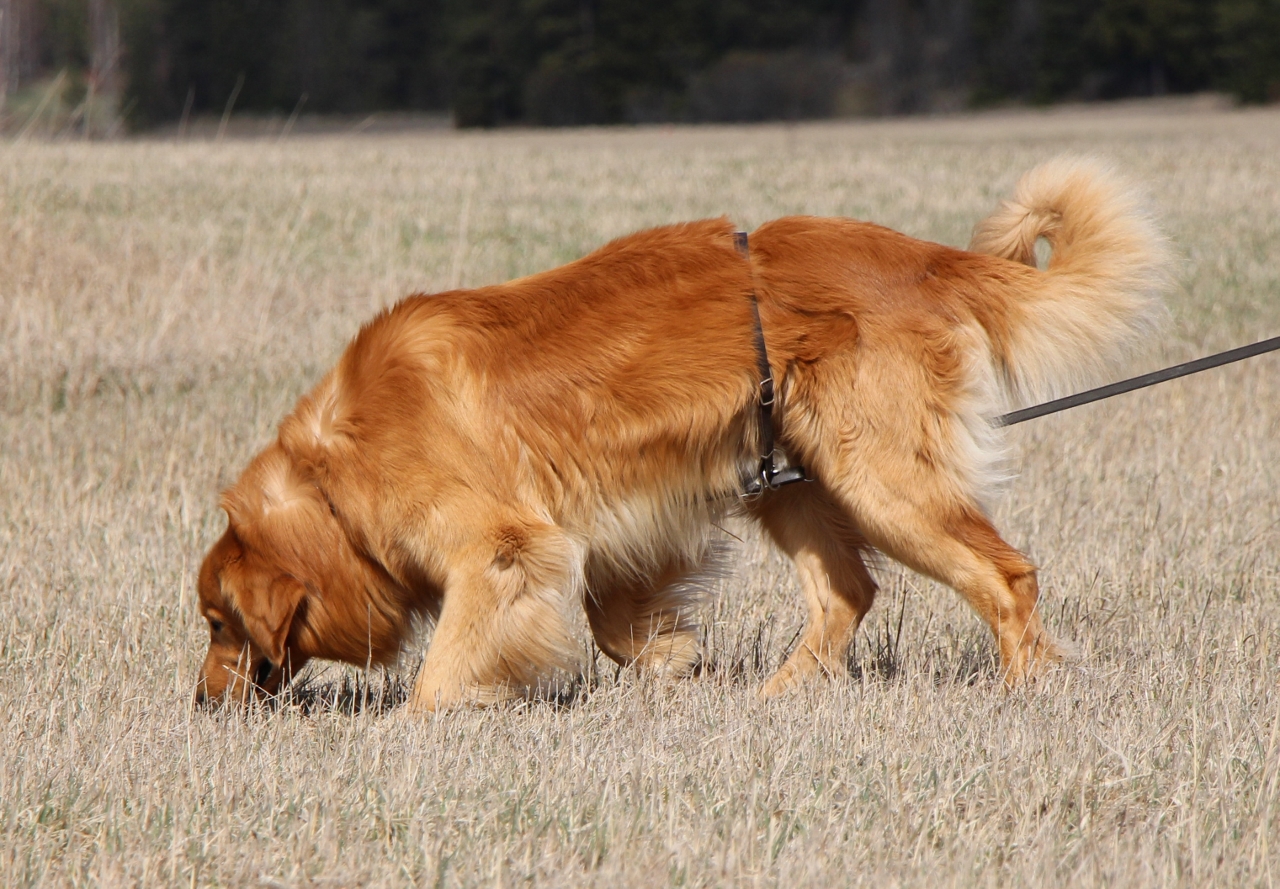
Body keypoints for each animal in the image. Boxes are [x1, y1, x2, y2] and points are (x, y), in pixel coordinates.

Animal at [192, 159, 1172, 711]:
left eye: (218, 623)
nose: (201, 703)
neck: (333, 471)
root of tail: (927, 259)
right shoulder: (619, 525)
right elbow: (614, 622)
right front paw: (671, 661)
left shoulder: (503, 546)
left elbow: (450, 660)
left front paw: (417, 723)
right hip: (792, 477)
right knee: (847, 591)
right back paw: (779, 700)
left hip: (883, 480)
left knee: (1005, 575)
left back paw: (1023, 688)